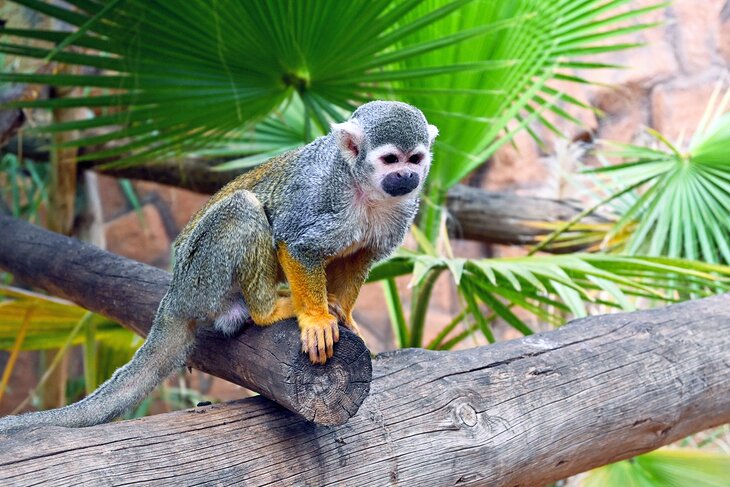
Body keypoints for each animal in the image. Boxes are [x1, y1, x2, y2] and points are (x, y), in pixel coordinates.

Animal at [0, 100, 432, 430]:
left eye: (415, 158)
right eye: (390, 159)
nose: (406, 175)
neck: (363, 188)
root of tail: (174, 291)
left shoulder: (400, 211)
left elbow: (360, 256)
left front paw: (341, 310)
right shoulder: (322, 192)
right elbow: (296, 242)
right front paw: (316, 318)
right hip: (201, 274)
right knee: (243, 208)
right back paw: (266, 310)